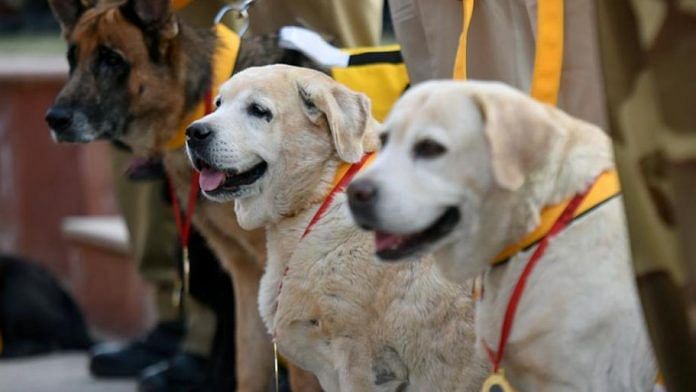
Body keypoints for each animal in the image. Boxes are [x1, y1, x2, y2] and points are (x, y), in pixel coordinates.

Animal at [45, 0, 320, 388]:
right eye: (72, 58)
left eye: (111, 59)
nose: (55, 119)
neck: (200, 99)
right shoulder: (246, 278)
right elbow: (248, 368)